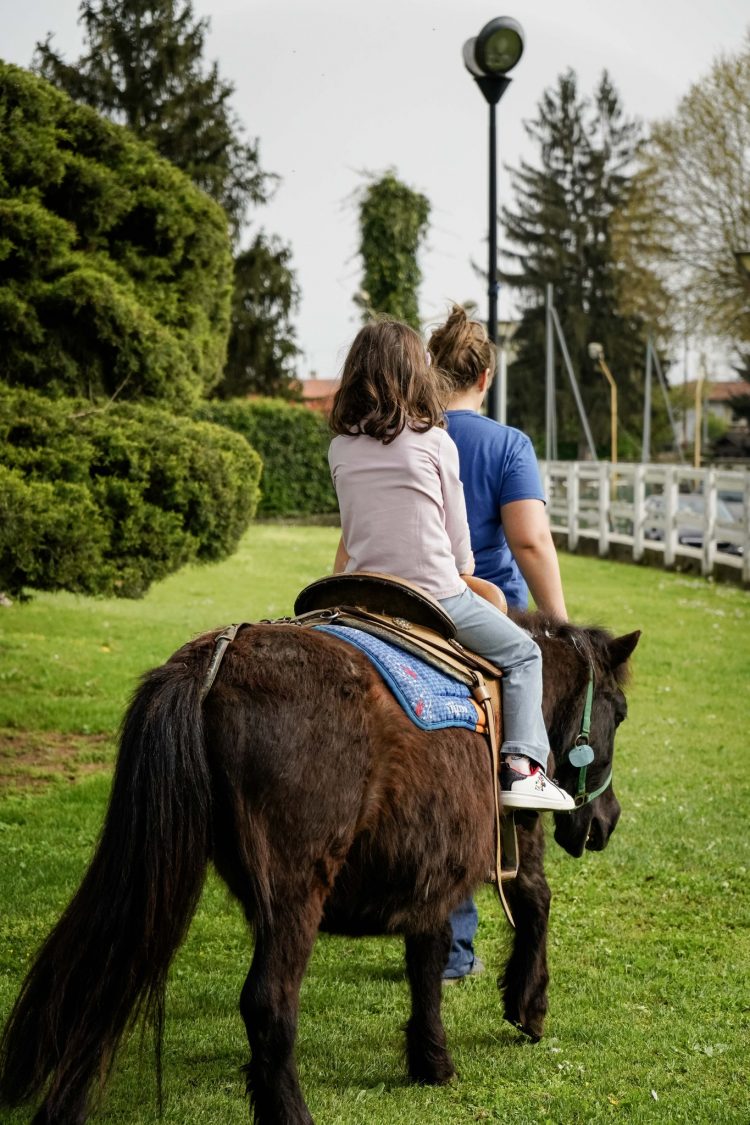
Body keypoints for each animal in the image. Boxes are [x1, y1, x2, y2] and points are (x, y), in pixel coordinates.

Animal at [0, 616, 638, 1125]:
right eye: (621, 713)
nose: (606, 821)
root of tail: (214, 660)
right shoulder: (507, 835)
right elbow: (533, 900)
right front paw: (528, 1007)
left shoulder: (430, 863)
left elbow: (427, 955)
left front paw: (430, 1059)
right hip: (295, 891)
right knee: (268, 1003)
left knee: (104, 969)